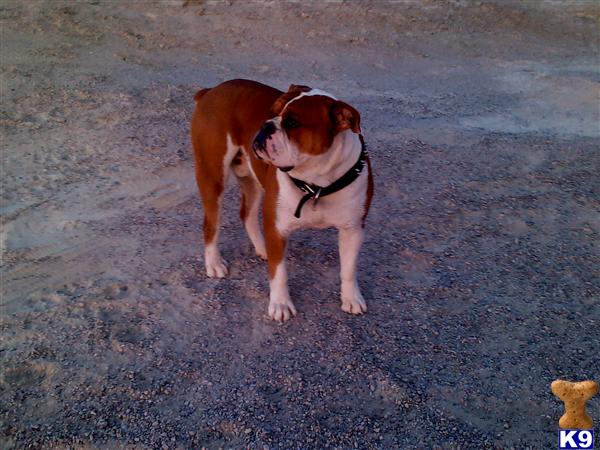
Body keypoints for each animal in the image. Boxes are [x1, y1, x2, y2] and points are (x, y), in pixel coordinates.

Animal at [190, 79, 372, 322]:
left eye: (292, 122)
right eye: (272, 112)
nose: (266, 126)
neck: (317, 183)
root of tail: (211, 91)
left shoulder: (352, 229)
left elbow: (349, 268)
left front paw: (351, 297)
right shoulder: (277, 228)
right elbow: (279, 272)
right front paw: (280, 304)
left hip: (252, 180)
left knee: (246, 214)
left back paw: (262, 248)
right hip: (212, 175)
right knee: (211, 224)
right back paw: (214, 263)